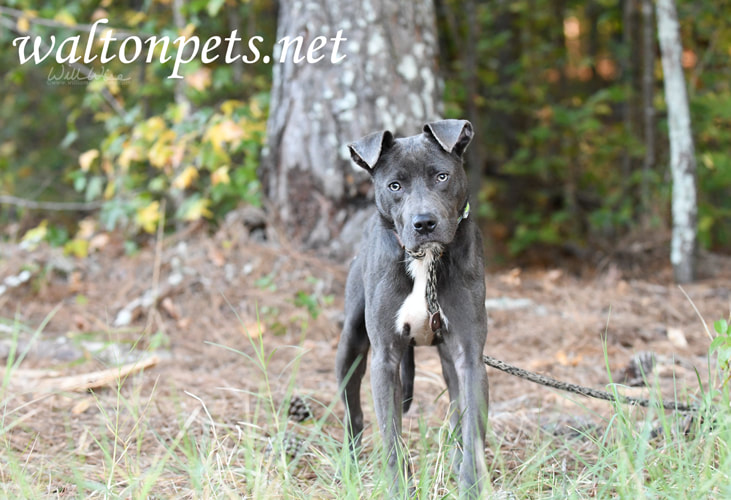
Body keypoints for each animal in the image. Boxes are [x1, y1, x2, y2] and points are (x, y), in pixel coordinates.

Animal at [338, 120, 492, 496]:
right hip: (350, 342)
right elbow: (391, 435)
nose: (424, 223)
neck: (426, 261)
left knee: (456, 411)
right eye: (395, 185)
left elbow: (472, 427)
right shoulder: (385, 358)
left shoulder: (469, 355)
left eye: (441, 176)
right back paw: (350, 462)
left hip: (448, 358)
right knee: (353, 409)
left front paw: (470, 486)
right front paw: (398, 489)